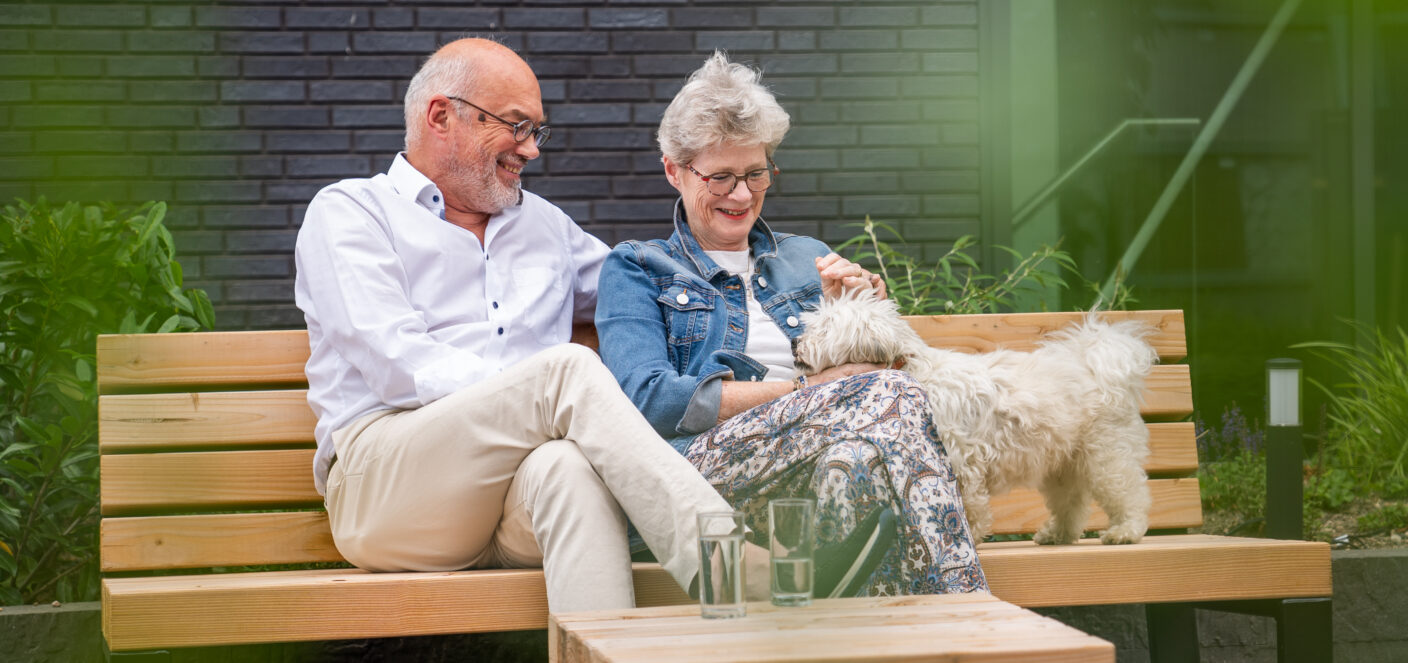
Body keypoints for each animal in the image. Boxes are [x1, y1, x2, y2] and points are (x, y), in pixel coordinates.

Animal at [799, 292, 1160, 548]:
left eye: (825, 329)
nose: (796, 343)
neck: (915, 373)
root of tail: (1097, 363)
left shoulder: (961, 463)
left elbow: (969, 508)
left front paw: (969, 537)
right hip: (1063, 464)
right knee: (1071, 504)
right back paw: (1057, 534)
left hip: (1106, 456)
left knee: (1130, 493)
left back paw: (1125, 532)